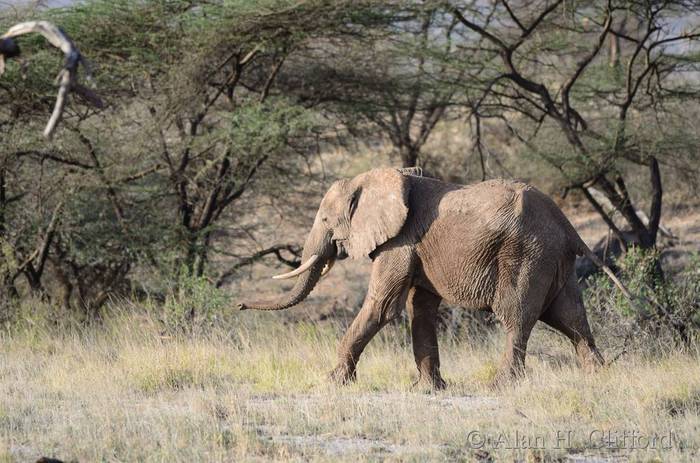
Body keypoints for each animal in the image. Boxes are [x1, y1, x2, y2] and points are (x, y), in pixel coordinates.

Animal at [239, 168, 629, 388]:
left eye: (323, 220)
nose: (239, 305)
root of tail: (567, 224)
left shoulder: (399, 241)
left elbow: (382, 307)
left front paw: (332, 383)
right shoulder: (415, 247)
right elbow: (421, 311)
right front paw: (429, 389)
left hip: (526, 254)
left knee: (517, 316)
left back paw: (500, 386)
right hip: (553, 259)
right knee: (571, 318)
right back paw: (598, 378)